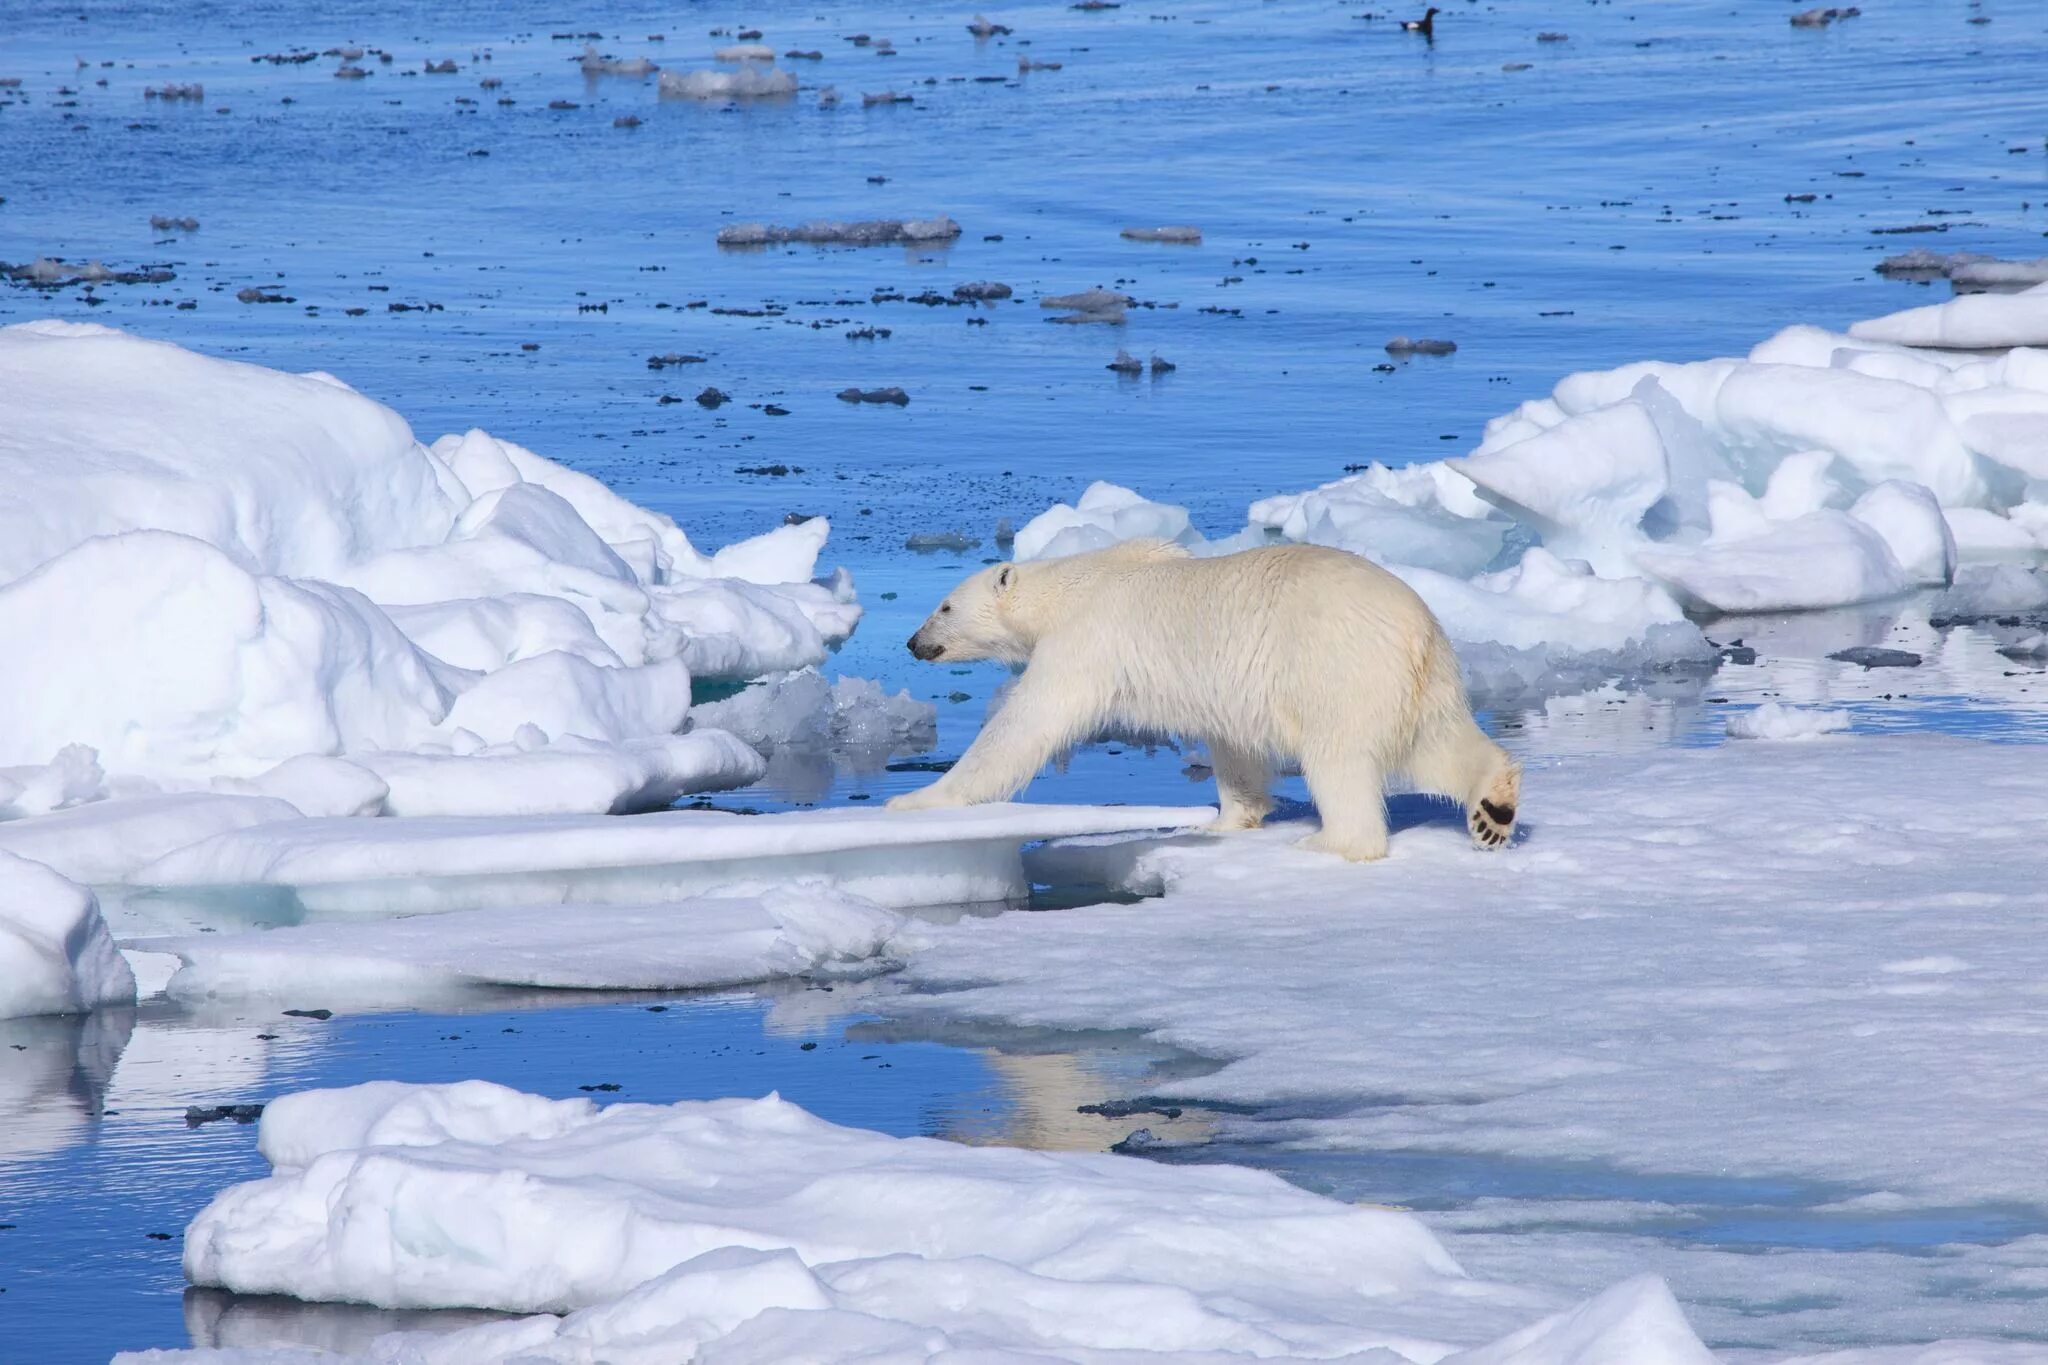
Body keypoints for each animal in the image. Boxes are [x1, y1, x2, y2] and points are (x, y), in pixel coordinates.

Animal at [884, 540, 1523, 859]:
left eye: (944, 605)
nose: (913, 641)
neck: (1072, 587)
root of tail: (1417, 628)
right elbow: (1234, 748)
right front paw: (1231, 819)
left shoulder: (1087, 641)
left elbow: (1026, 724)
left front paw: (915, 801)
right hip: (1419, 681)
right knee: (1437, 743)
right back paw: (1492, 811)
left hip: (1334, 667)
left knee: (1340, 759)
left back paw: (1330, 841)